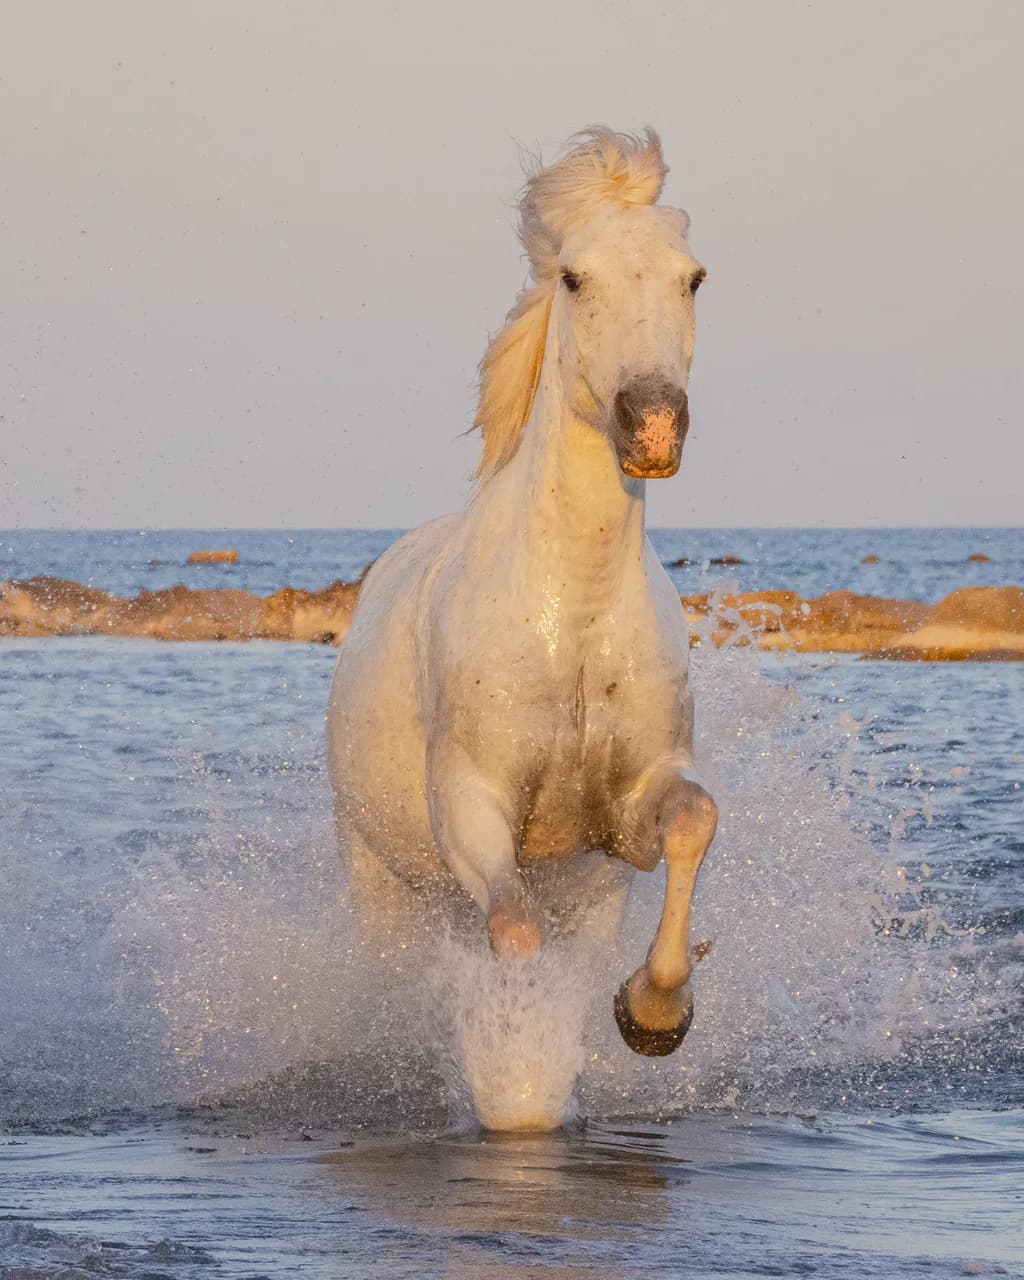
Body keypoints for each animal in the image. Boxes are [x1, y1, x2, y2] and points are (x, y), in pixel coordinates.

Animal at [327, 127, 718, 1113]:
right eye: (574, 277)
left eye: (693, 278)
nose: (651, 425)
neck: (571, 616)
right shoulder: (473, 808)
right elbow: (513, 937)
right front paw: (514, 1089)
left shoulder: (627, 816)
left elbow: (692, 823)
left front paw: (652, 1014)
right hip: (379, 875)